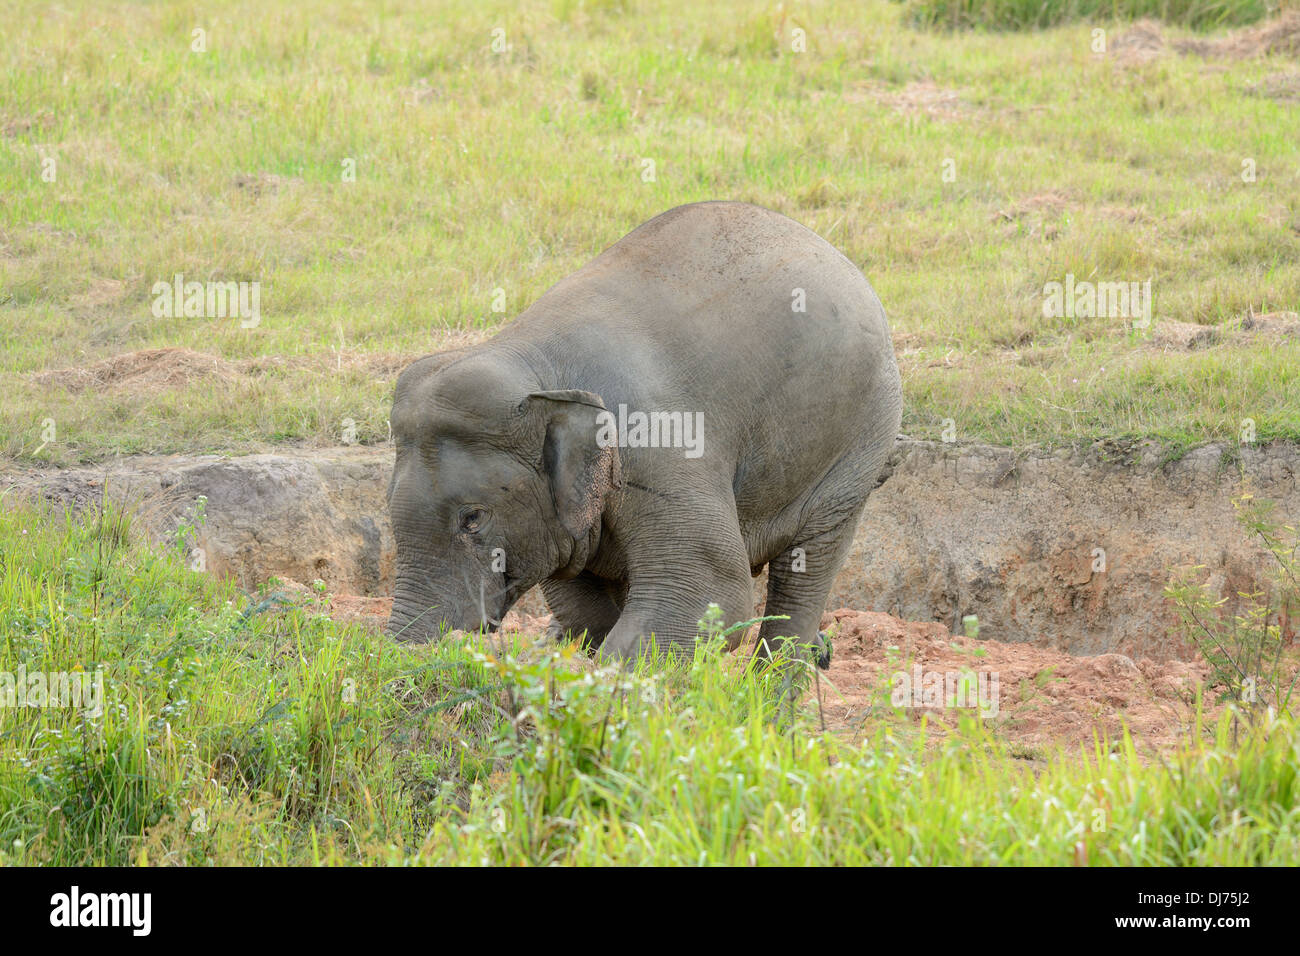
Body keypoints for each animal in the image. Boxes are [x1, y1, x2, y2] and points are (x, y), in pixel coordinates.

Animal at [379, 201, 899, 665]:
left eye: (473, 518)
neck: (533, 361)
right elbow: (581, 598)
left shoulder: (657, 450)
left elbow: (712, 591)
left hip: (856, 445)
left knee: (809, 566)